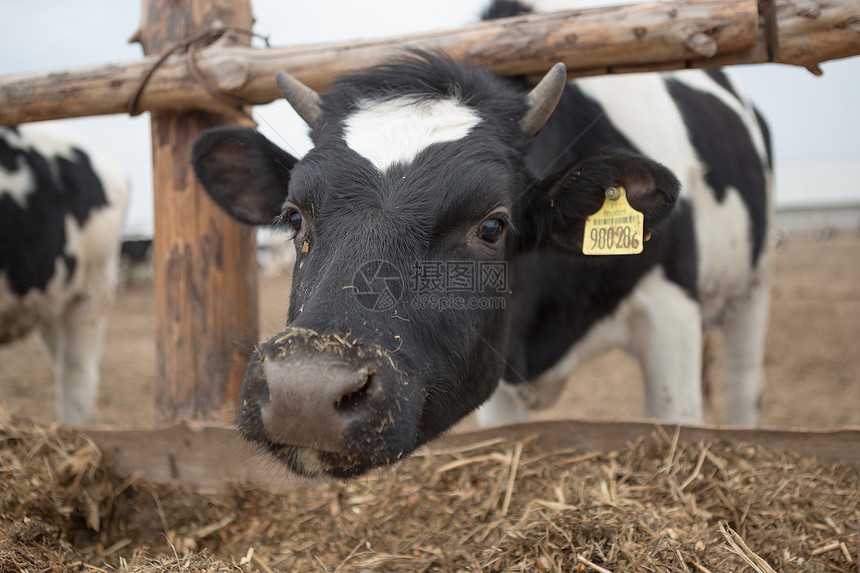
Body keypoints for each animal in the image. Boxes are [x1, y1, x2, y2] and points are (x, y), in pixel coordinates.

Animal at [193, 5, 772, 478]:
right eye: (293, 217)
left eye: (492, 226)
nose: (304, 392)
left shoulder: (671, 313)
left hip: (753, 287)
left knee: (743, 383)